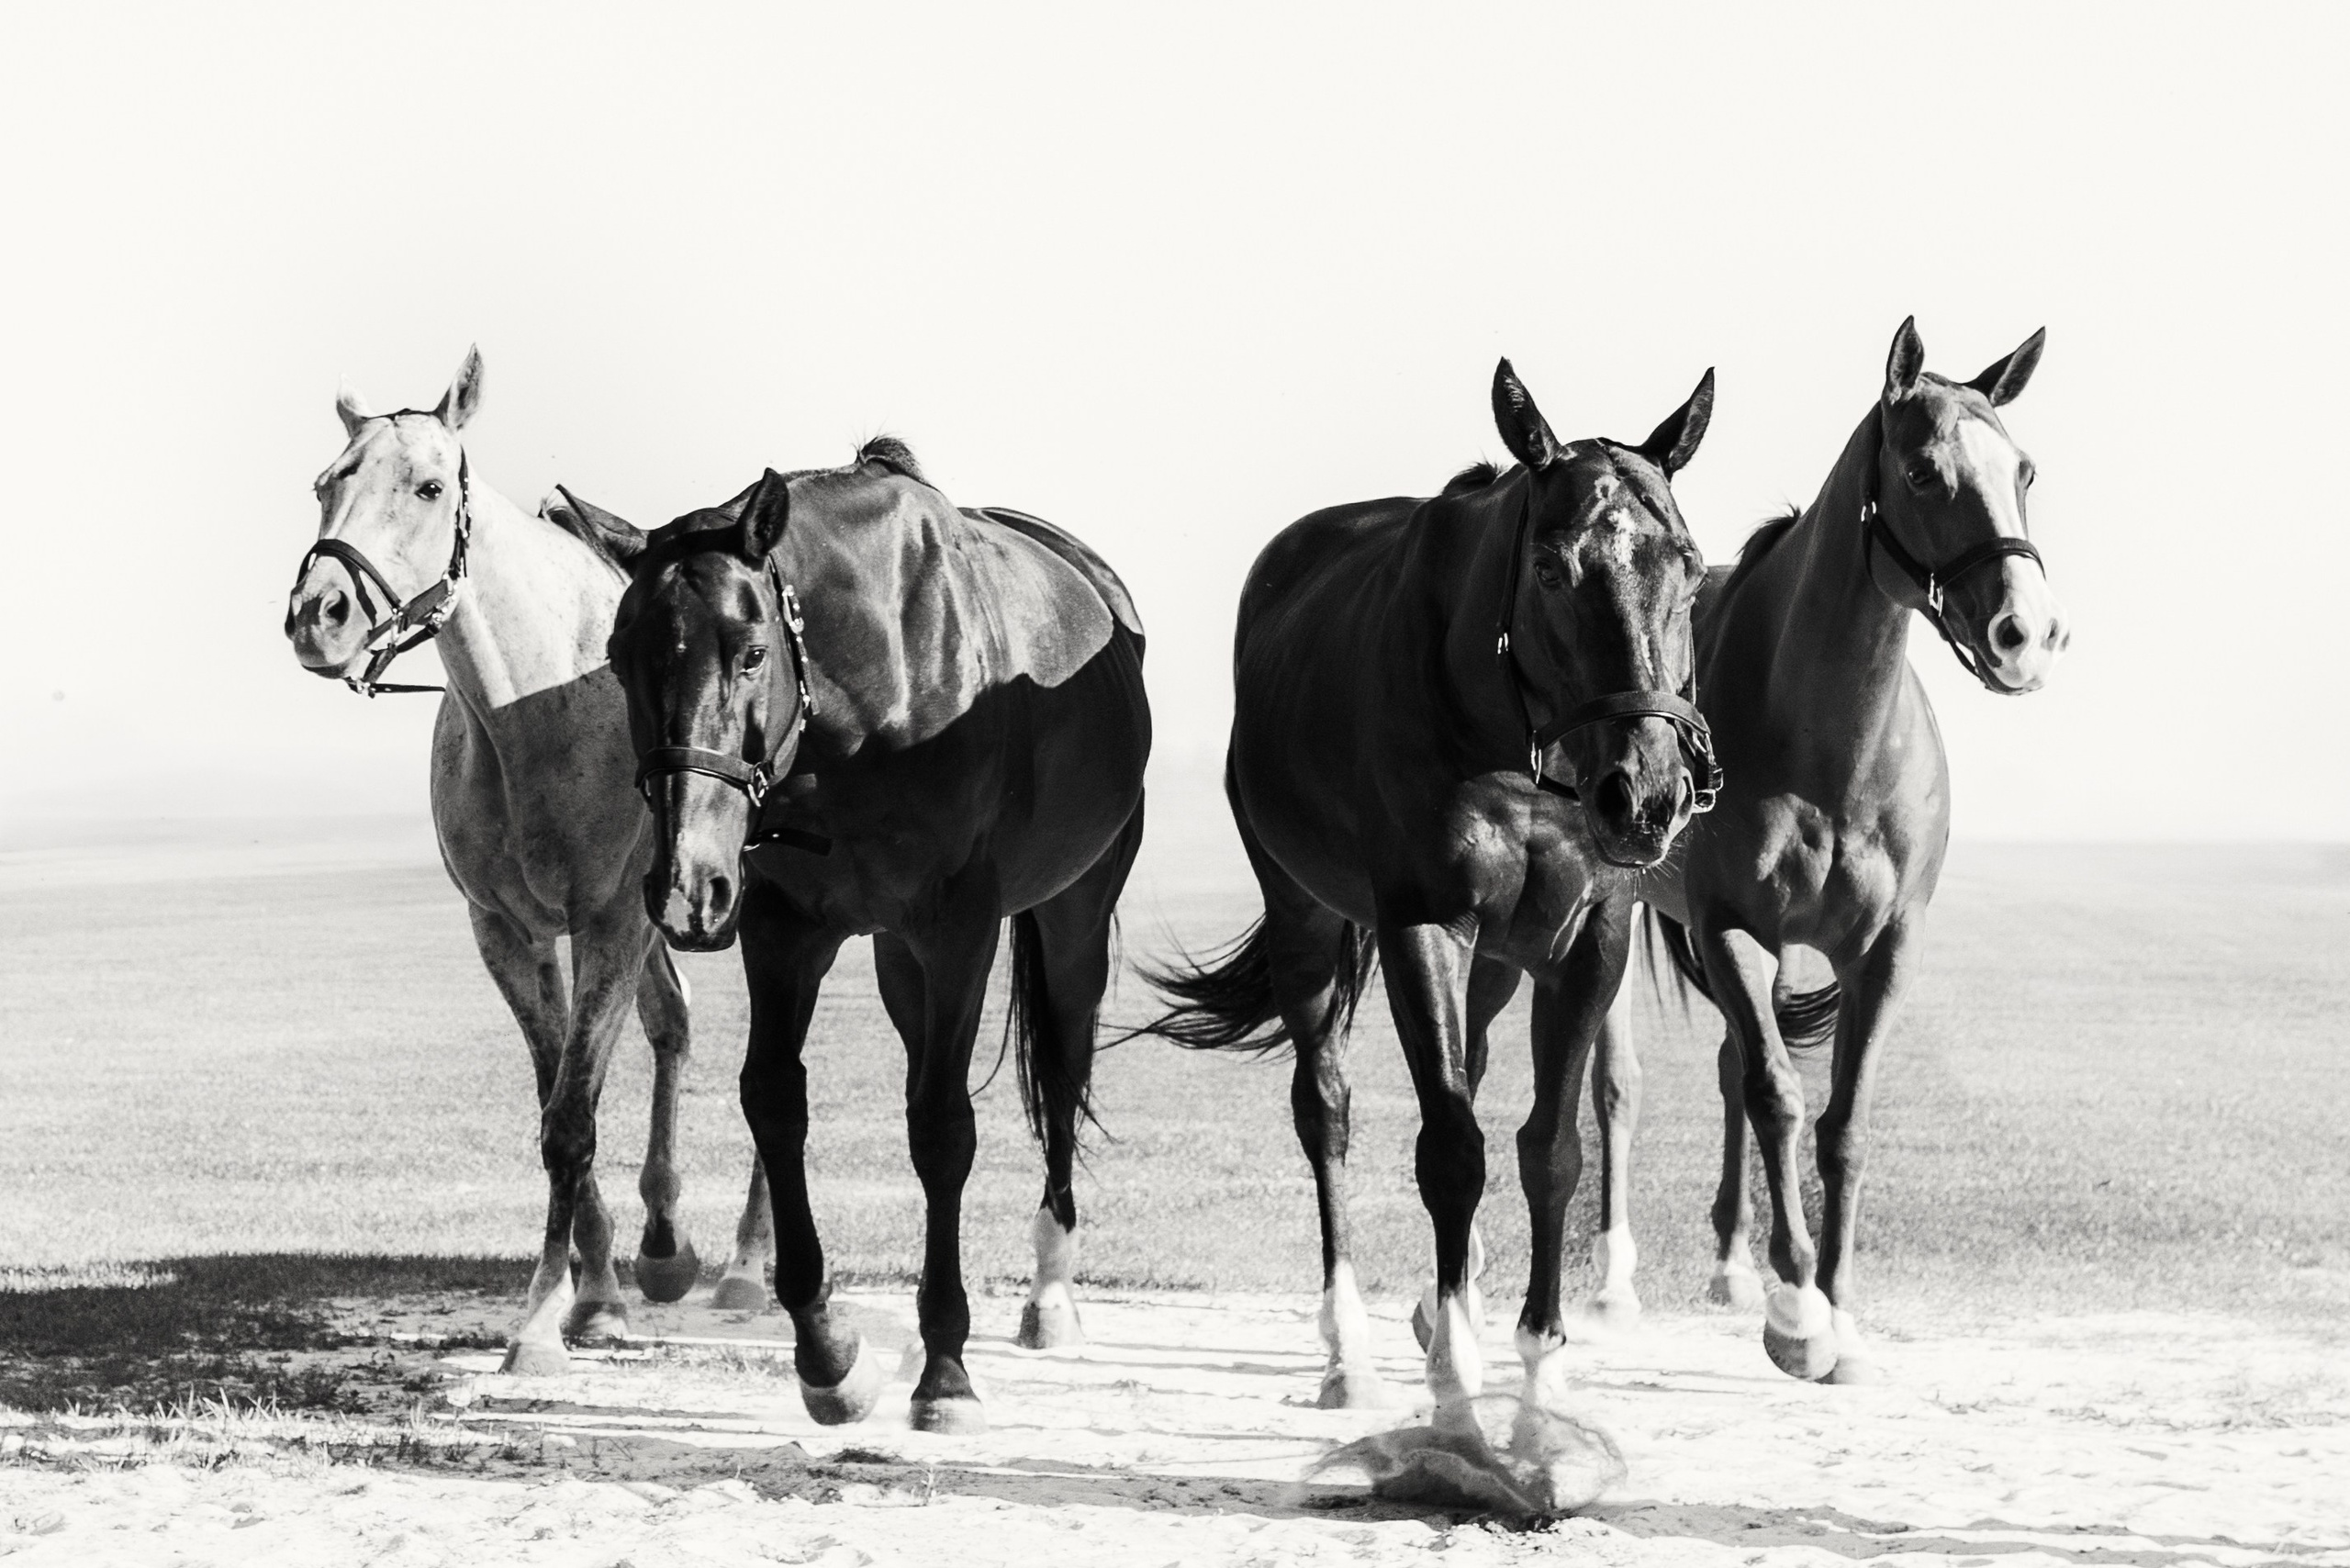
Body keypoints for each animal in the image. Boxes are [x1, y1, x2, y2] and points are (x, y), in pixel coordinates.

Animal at [282, 348, 775, 1374]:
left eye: (429, 486)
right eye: (323, 485)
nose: (320, 615)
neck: (536, 709)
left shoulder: (612, 923)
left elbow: (571, 1119)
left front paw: (550, 1320)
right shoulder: (511, 933)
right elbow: (558, 1103)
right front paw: (593, 1293)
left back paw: (749, 1266)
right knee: (673, 1024)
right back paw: (666, 1247)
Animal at [594, 440, 1150, 1435]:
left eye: (750, 653)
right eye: (621, 661)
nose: (687, 884)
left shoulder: (958, 928)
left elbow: (942, 1129)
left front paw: (946, 1370)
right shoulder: (784, 928)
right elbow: (775, 1101)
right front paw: (828, 1356)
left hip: (1074, 916)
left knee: (1065, 1063)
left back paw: (1050, 1294)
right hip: (898, 960)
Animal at [1136, 359, 1719, 1415]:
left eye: (1689, 567)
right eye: (1550, 569)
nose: (1647, 796)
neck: (1515, 744)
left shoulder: (1587, 940)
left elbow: (1549, 1147)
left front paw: (1541, 1359)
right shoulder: (1423, 925)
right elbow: (1450, 1147)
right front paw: (1455, 1365)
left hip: (1498, 957)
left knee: (1474, 1066)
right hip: (1305, 918)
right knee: (1324, 1107)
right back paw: (1348, 1350)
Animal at [1582, 318, 2068, 1384]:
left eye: (2023, 469)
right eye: (1924, 472)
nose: (2027, 634)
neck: (1829, 743)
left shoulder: (1882, 950)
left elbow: (1841, 1121)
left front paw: (1838, 1314)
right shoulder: (1729, 930)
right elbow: (1778, 1095)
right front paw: (1799, 1310)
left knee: (1731, 1061)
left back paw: (1731, 1266)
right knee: (1620, 1086)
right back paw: (1613, 1287)